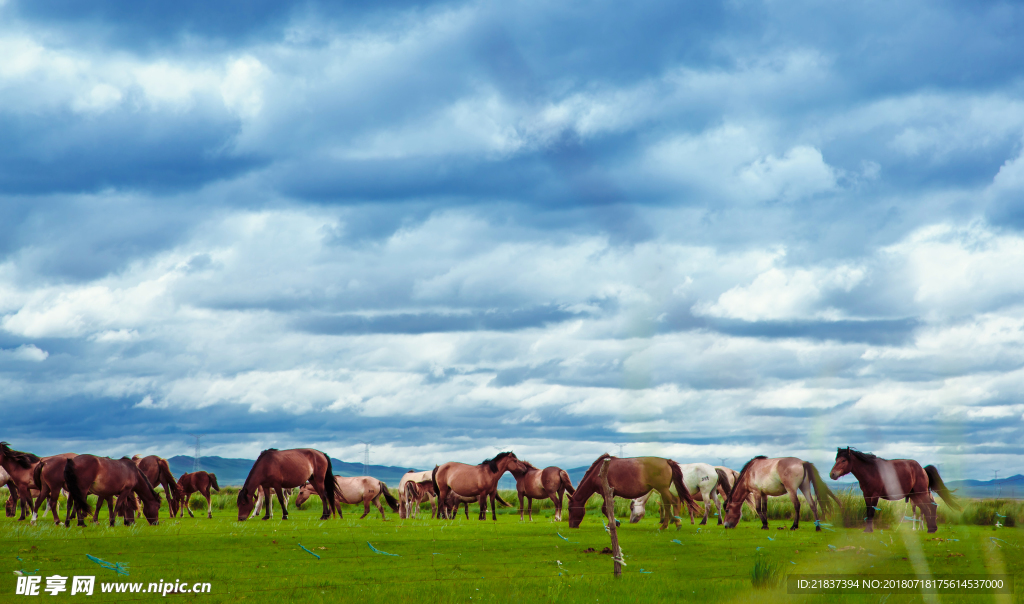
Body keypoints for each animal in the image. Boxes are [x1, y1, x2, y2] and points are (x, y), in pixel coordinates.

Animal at [569, 454, 704, 532]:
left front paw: (614, 523)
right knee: (667, 505)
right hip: (663, 490)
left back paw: (676, 524)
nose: (571, 525)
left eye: (570, 509)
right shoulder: (610, 493)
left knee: (673, 502)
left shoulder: (605, 492)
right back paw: (666, 525)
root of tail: (667, 461)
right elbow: (608, 509)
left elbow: (605, 508)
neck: (598, 471)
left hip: (663, 489)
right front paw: (613, 523)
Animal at [827, 444, 962, 536]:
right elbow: (868, 511)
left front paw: (869, 530)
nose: (832, 474)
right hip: (915, 496)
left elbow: (871, 512)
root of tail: (922, 469)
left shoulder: (875, 495)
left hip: (921, 493)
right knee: (926, 508)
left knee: (931, 506)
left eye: (843, 460)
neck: (871, 471)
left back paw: (931, 529)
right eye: (836, 460)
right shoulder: (867, 495)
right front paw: (867, 529)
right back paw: (931, 528)